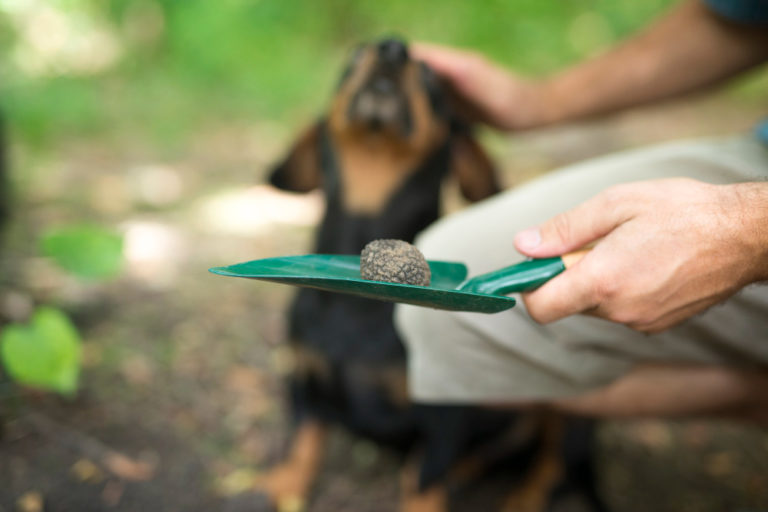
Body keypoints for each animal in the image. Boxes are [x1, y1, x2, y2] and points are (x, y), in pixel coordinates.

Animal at [262, 37, 608, 512]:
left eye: (430, 76)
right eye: (356, 55)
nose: (392, 47)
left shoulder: (444, 413)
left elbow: (423, 481)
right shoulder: (303, 377)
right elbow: (303, 438)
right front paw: (283, 486)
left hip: (570, 404)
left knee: (552, 463)